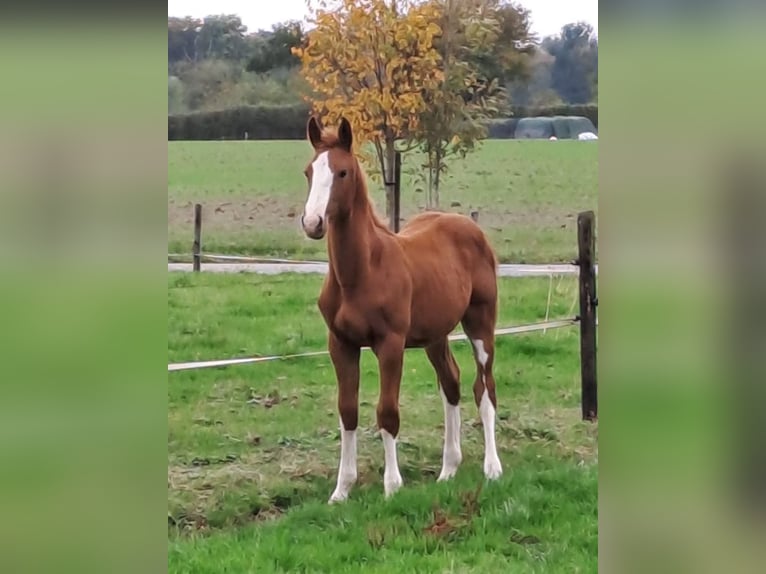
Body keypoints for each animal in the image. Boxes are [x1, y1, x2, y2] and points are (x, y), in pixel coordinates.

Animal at [299, 115, 503, 503]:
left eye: (343, 172)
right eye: (309, 171)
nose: (313, 222)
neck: (361, 273)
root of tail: (470, 226)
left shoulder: (390, 345)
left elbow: (387, 412)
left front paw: (392, 486)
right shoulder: (341, 345)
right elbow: (348, 411)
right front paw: (341, 490)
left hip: (481, 324)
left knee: (484, 388)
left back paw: (492, 468)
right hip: (435, 335)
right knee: (451, 383)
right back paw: (448, 469)